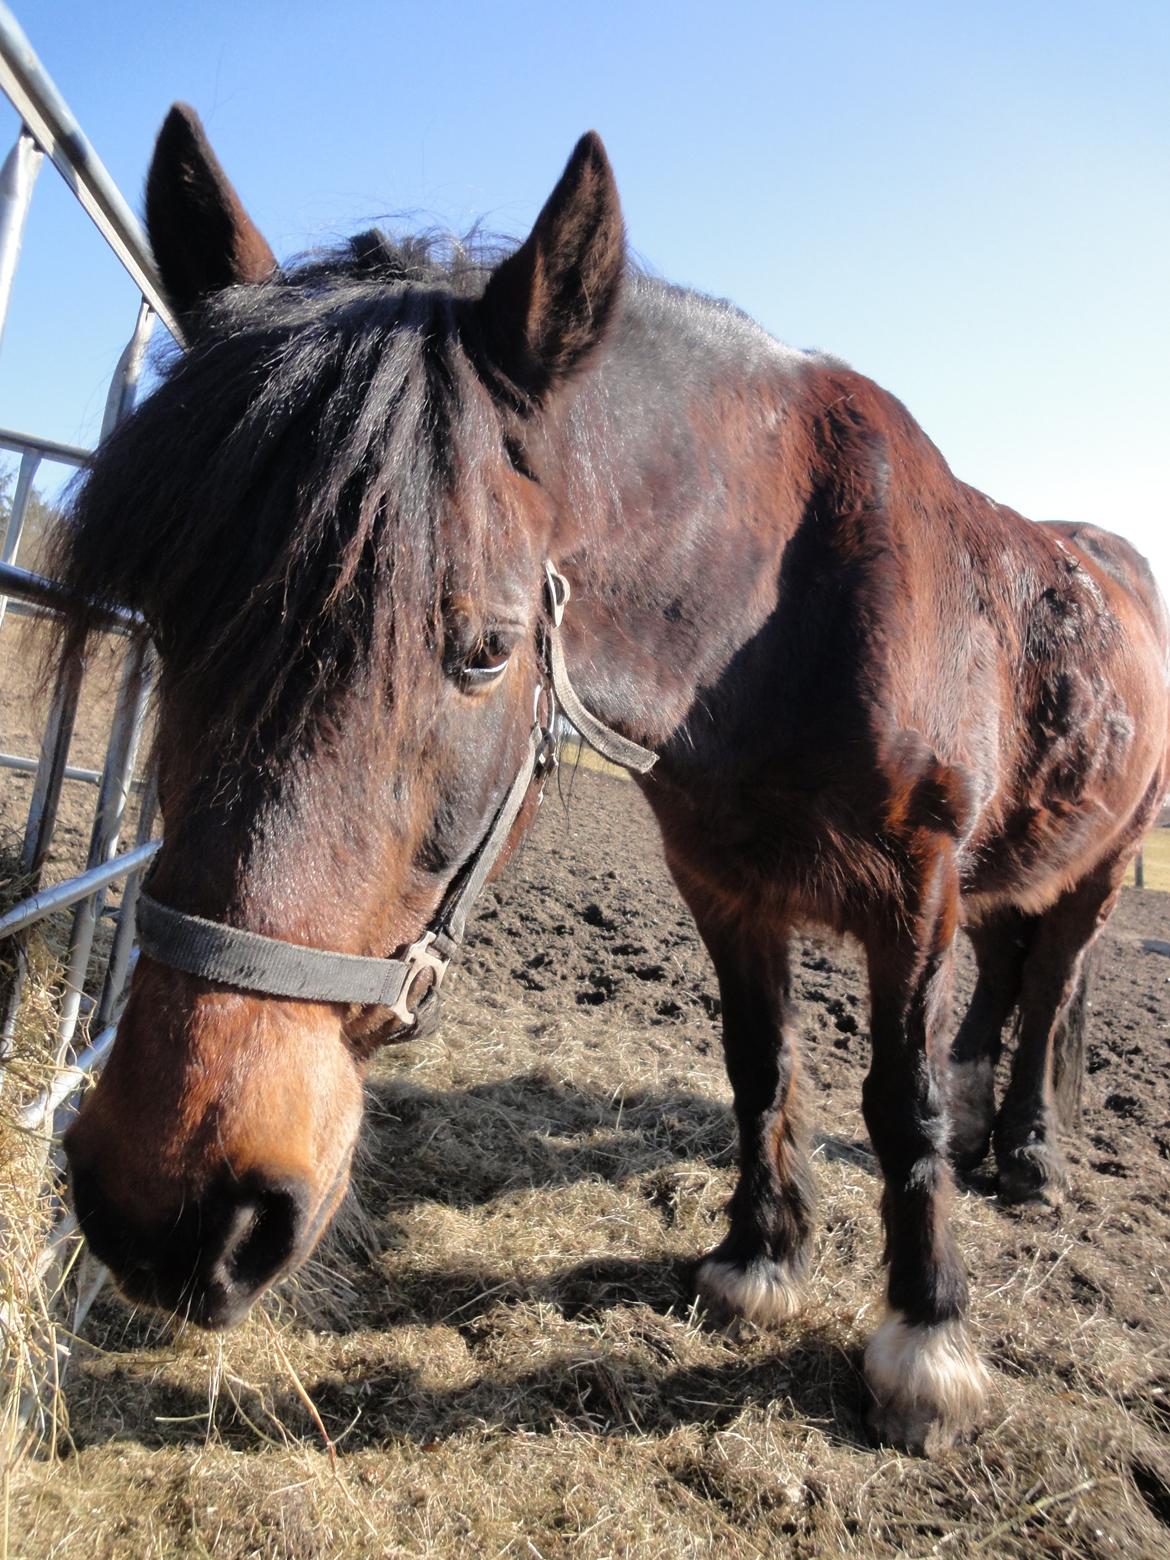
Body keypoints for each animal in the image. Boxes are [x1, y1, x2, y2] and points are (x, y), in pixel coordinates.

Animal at [54, 105, 1168, 1455]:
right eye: (165, 624)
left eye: (483, 650)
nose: (169, 1209)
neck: (784, 615)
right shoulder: (724, 885)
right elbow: (760, 1067)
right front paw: (759, 1257)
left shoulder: (917, 889)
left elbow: (898, 1102)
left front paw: (927, 1340)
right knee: (1008, 980)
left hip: (1102, 869)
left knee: (1050, 991)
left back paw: (1034, 1157)